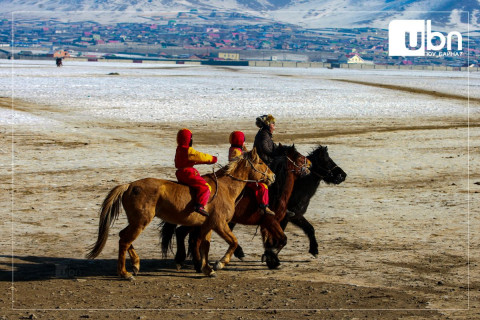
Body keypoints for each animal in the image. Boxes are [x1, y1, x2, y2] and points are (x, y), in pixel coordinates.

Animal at [86, 149, 274, 278]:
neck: (225, 187)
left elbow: (204, 246)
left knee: (123, 236)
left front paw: (207, 269)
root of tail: (129, 186)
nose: (273, 176)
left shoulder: (207, 225)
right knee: (125, 240)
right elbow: (233, 242)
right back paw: (125, 273)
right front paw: (220, 264)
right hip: (140, 221)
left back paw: (136, 265)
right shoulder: (220, 224)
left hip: (136, 222)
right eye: (261, 163)